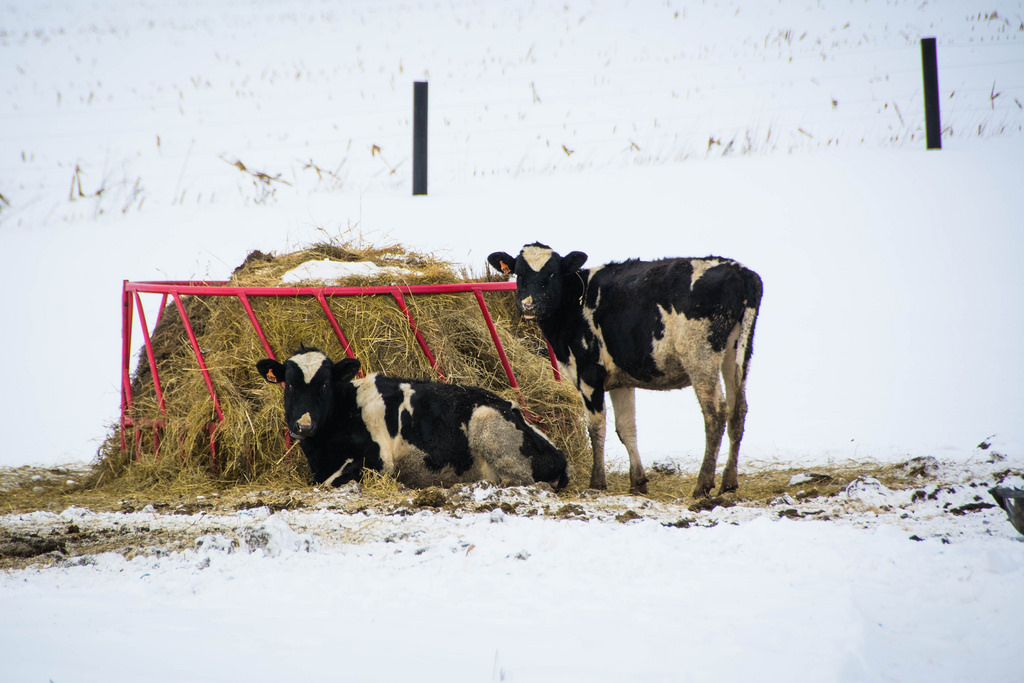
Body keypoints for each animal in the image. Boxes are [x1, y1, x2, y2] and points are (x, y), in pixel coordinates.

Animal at [254, 350, 569, 489]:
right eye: (289, 384)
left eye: (324, 385)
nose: (303, 426)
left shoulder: (378, 460)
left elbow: (328, 483)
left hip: (488, 422)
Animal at [487, 244, 761, 497]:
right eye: (519, 273)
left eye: (552, 273)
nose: (529, 305)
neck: (574, 304)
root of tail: (740, 271)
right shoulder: (621, 381)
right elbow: (626, 428)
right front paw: (637, 482)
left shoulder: (589, 373)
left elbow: (597, 427)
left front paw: (597, 483)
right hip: (737, 355)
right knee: (738, 411)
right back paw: (728, 483)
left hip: (700, 356)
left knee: (715, 412)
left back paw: (703, 484)